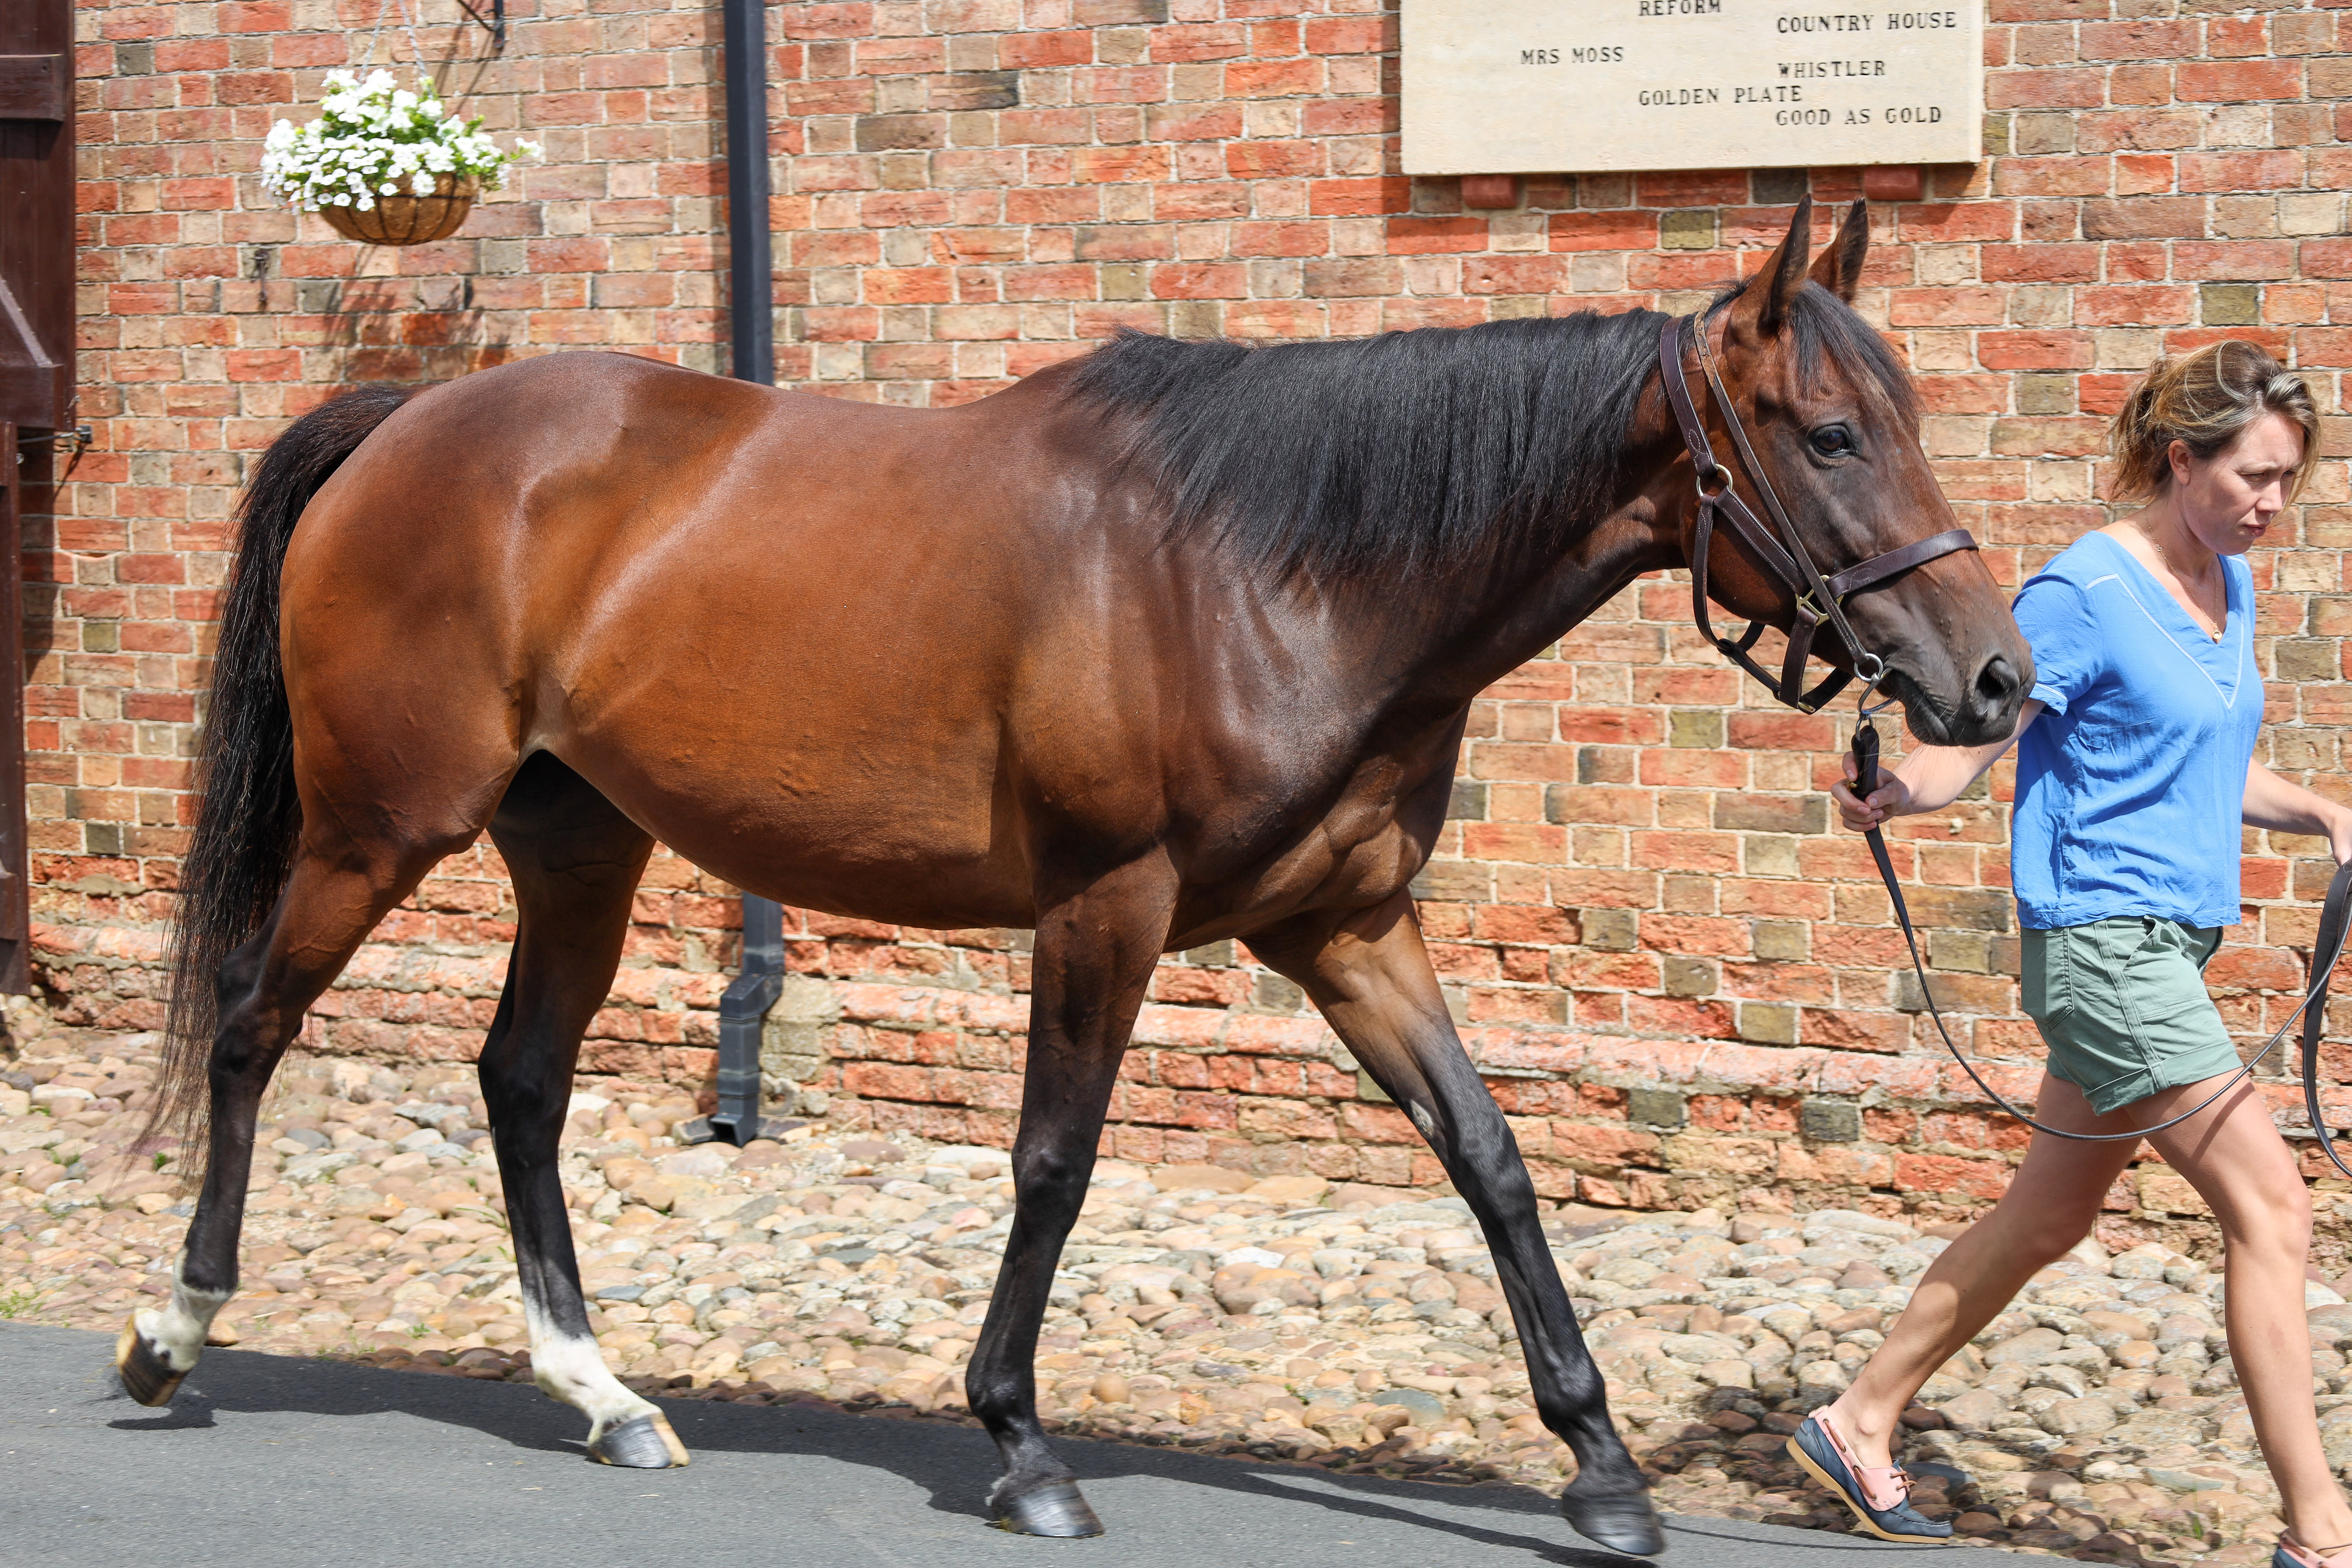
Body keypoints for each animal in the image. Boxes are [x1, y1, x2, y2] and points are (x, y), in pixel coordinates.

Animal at [117, 196, 2029, 1553]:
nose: (1993, 680)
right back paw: (175, 1325)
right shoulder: (1108, 906)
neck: (1278, 571)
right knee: (250, 1028)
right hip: (379, 830)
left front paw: (1603, 1465)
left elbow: (1490, 1158)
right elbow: (1054, 1160)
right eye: (1829, 432)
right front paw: (1020, 1441)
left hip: (580, 844)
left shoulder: (1346, 927)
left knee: (518, 1075)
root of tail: (412, 418)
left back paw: (603, 1390)